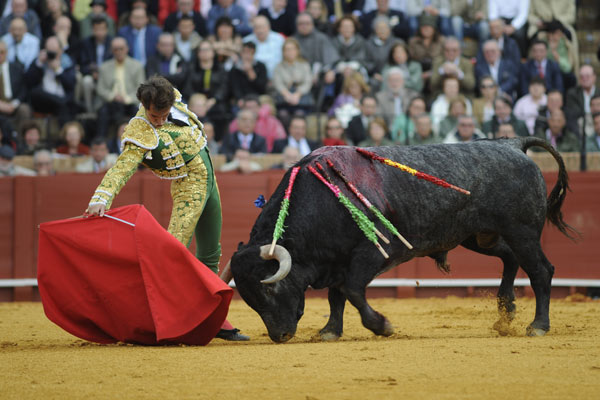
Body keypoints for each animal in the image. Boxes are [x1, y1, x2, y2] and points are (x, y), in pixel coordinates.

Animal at [231, 136, 576, 342]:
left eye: (271, 288)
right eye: (249, 299)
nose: (279, 335)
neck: (322, 199)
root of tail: (513, 143)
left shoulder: (374, 252)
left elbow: (351, 290)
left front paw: (382, 326)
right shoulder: (337, 260)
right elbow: (336, 296)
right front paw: (330, 331)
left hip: (522, 232)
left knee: (541, 271)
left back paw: (538, 326)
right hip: (480, 236)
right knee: (510, 258)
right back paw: (505, 313)